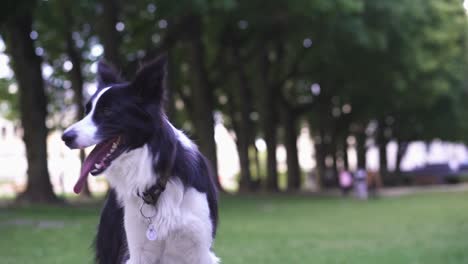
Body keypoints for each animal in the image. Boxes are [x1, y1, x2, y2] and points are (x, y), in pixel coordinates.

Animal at [61, 55, 219, 264]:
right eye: (87, 111)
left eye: (107, 112)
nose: (65, 137)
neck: (159, 183)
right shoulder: (138, 252)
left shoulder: (199, 250)